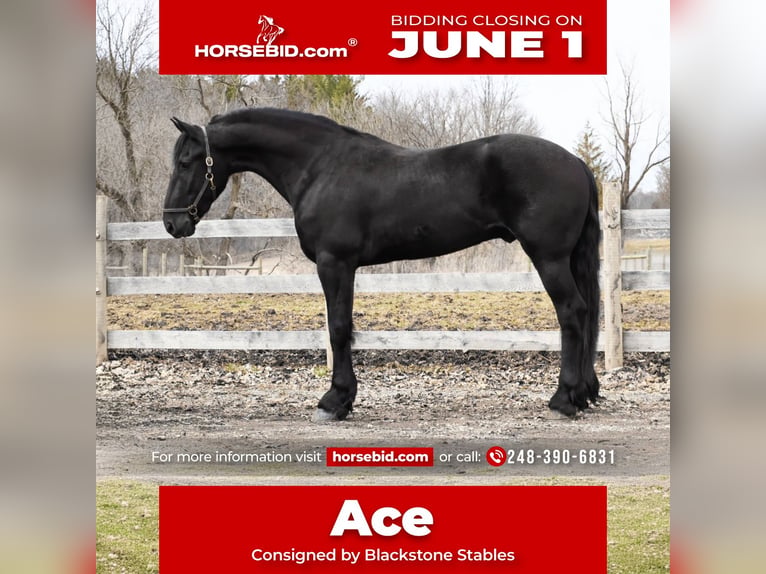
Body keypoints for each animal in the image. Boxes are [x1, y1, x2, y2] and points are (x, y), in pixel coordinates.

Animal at [163, 108, 602, 421]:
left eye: (186, 162)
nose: (172, 223)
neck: (320, 166)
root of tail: (577, 163)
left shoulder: (335, 263)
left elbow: (339, 329)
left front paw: (335, 401)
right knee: (585, 312)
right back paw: (584, 394)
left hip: (549, 258)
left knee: (572, 313)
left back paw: (564, 398)